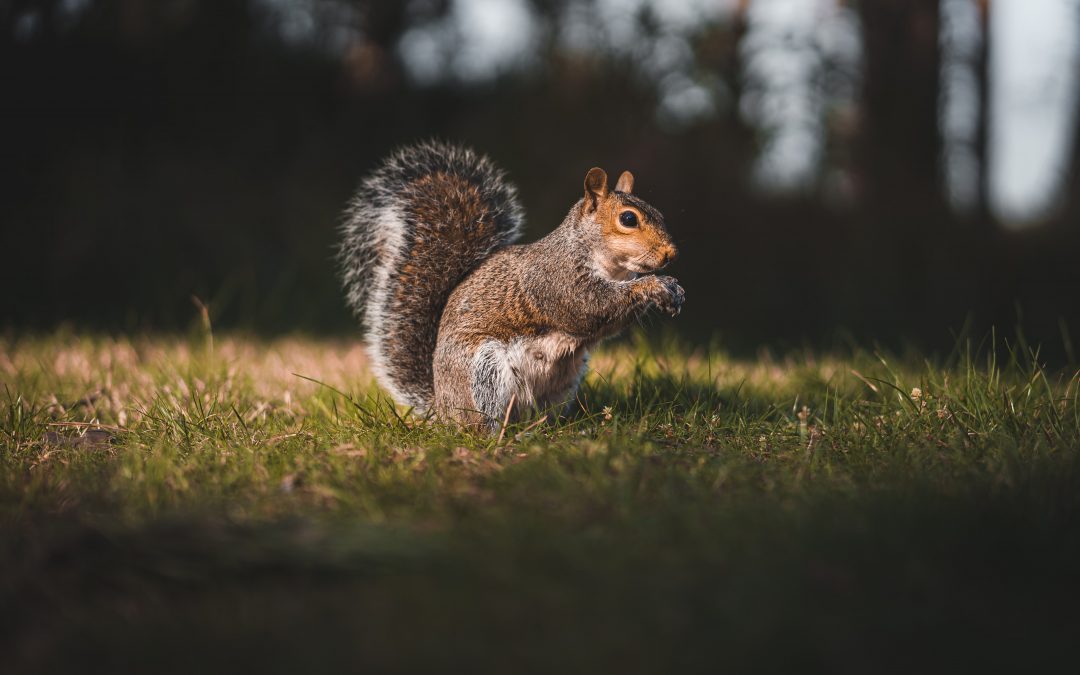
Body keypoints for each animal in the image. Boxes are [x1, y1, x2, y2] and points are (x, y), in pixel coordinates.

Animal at [339, 141, 684, 432]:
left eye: (659, 213)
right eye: (628, 219)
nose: (671, 254)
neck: (610, 267)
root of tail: (443, 407)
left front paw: (670, 289)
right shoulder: (556, 280)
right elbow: (589, 308)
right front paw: (654, 285)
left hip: (563, 382)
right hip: (484, 370)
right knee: (483, 423)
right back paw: (500, 436)